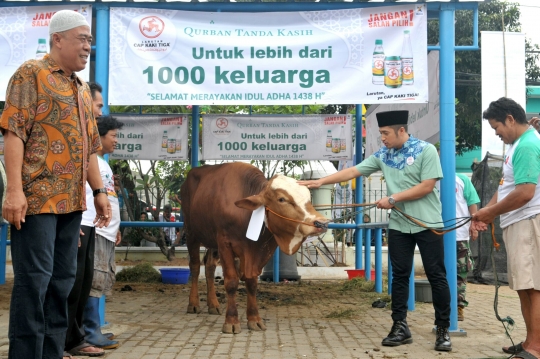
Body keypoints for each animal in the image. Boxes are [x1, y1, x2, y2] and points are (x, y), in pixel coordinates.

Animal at [180, 163, 330, 334]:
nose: (322, 223)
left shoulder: (253, 253)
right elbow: (231, 282)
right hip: (191, 232)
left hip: (212, 240)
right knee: (195, 266)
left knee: (209, 266)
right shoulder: (225, 244)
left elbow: (252, 283)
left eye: (309, 198)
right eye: (282, 199)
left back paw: (213, 304)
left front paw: (254, 319)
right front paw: (231, 321)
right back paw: (193, 304)